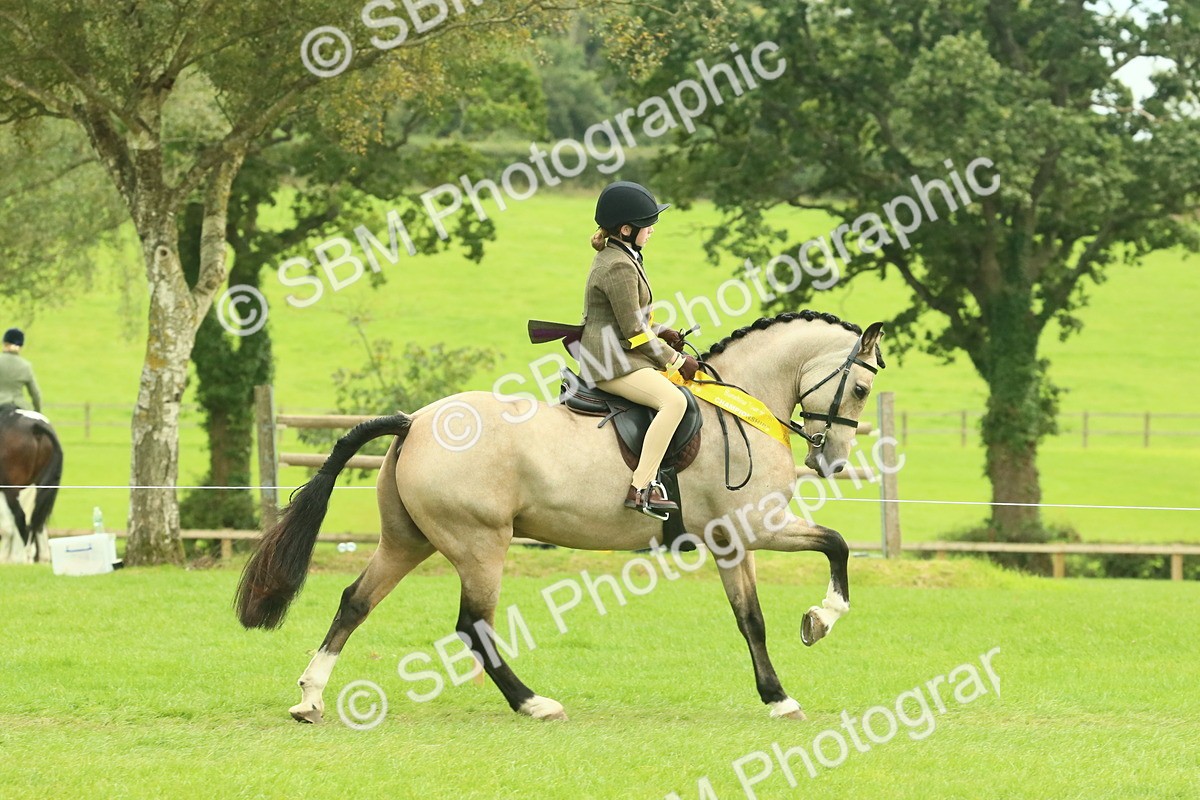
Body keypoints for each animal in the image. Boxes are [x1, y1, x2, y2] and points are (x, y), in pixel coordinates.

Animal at [0, 406, 64, 564]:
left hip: (12, 490)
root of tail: (36, 425)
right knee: (36, 520)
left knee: (21, 519)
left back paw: (18, 559)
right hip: (37, 488)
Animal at [236, 311, 886, 723]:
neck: (742, 406)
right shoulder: (750, 529)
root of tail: (414, 421)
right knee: (474, 626)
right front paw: (814, 632)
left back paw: (310, 698)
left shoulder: (741, 539)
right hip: (480, 545)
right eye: (859, 389)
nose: (831, 460)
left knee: (355, 602)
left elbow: (764, 607)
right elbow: (826, 553)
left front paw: (786, 678)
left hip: (407, 541)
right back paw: (535, 704)